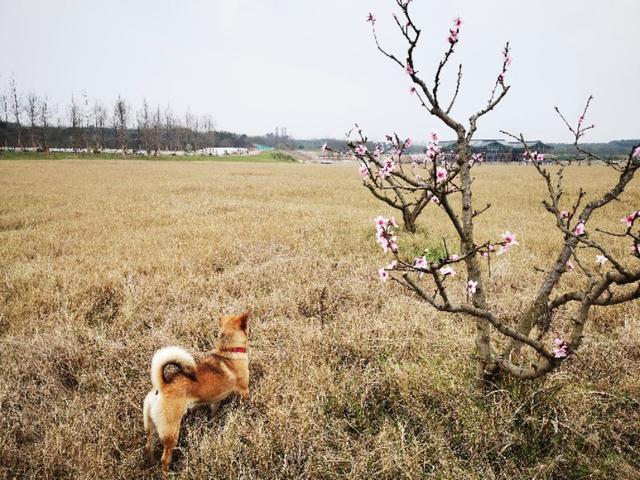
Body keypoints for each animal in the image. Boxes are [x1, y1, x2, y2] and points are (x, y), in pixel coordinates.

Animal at [142, 312, 250, 472]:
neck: (227, 351)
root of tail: (161, 386)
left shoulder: (215, 400)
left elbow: (213, 412)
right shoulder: (244, 391)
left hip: (152, 428)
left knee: (148, 447)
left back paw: (150, 463)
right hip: (171, 433)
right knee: (165, 459)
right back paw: (167, 472)